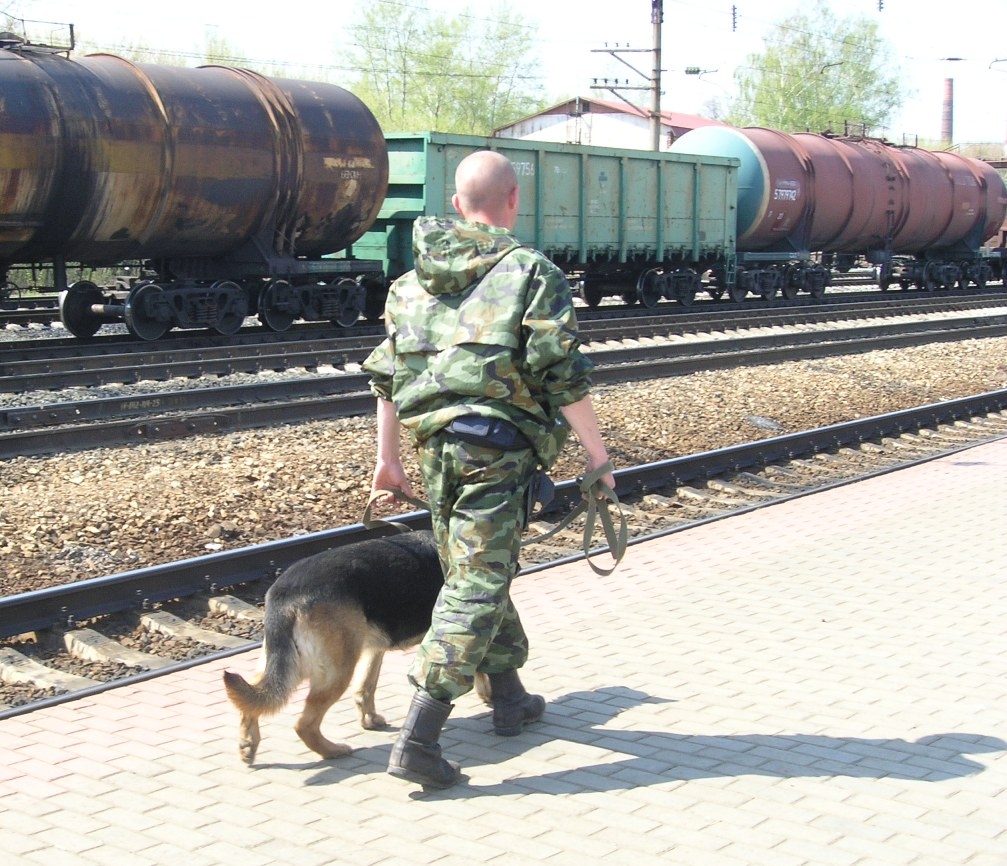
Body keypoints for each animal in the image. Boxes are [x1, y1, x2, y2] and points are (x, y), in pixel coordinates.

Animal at [222, 527, 489, 765]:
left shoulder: (373, 649)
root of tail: (282, 595)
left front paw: (369, 720)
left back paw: (248, 745)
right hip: (335, 672)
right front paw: (489, 695)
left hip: (287, 664)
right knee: (304, 724)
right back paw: (332, 750)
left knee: (252, 697)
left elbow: (365, 687)